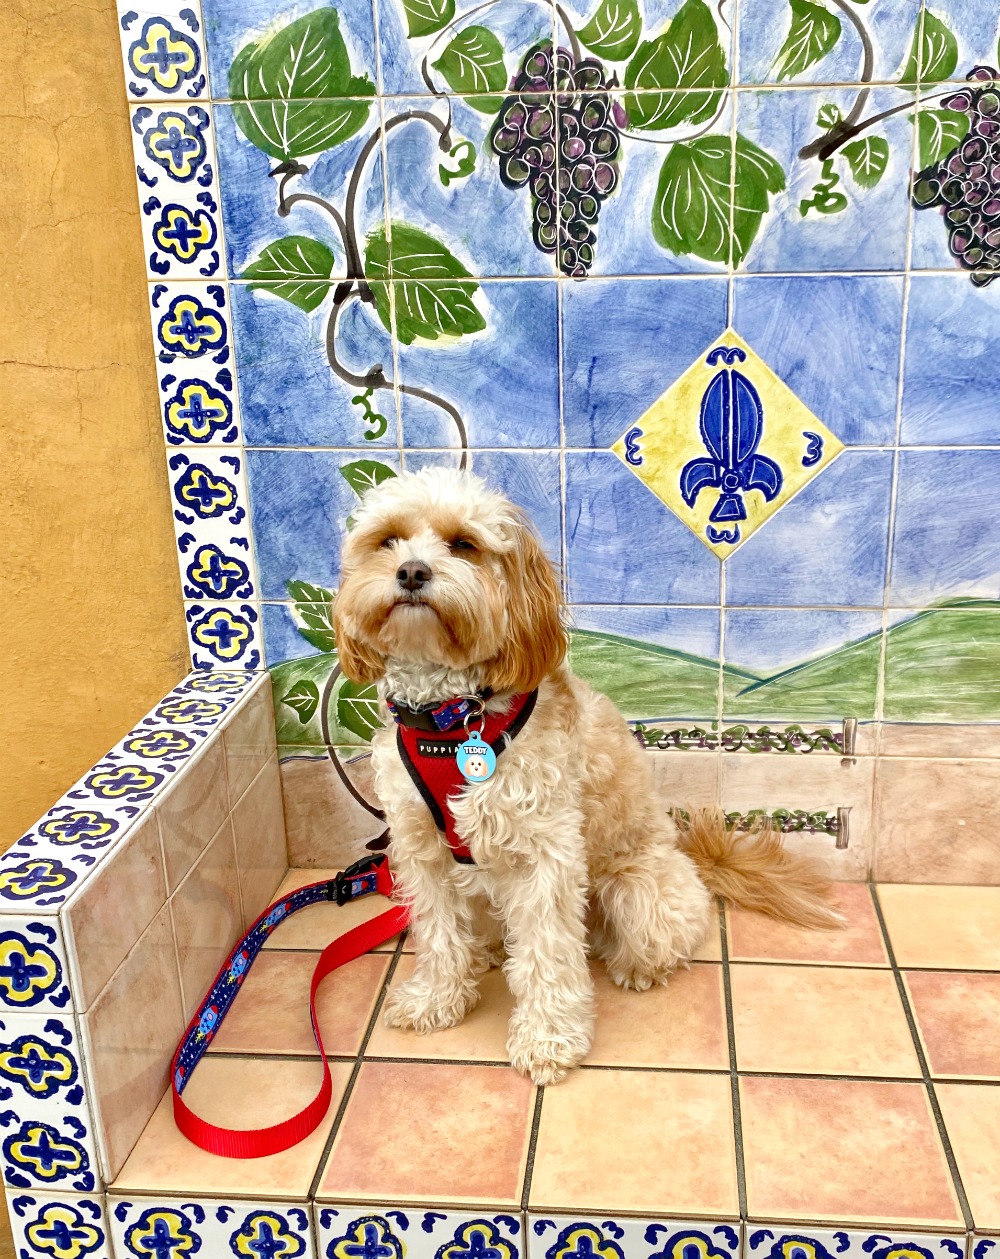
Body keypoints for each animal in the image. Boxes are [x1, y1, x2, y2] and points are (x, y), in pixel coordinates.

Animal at [332, 468, 836, 1087]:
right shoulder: (420, 848)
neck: (452, 719)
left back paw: (635, 969)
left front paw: (547, 1039)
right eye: (388, 540)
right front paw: (437, 998)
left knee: (641, 941)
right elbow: (439, 933)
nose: (411, 572)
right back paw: (487, 952)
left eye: (463, 544)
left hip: (638, 894)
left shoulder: (545, 852)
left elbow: (547, 954)